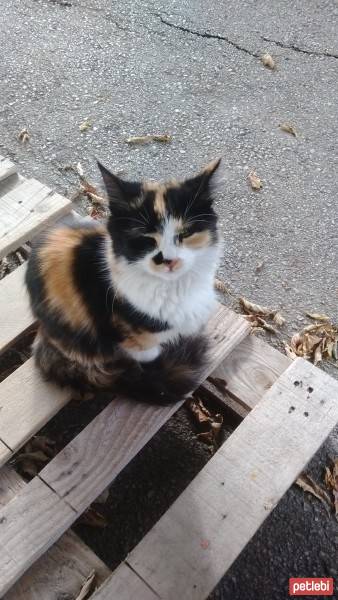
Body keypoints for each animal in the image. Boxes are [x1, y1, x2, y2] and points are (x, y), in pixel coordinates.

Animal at [25, 158, 222, 404]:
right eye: (146, 239)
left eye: (185, 233)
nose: (169, 261)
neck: (175, 288)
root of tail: (43, 337)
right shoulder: (133, 339)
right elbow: (149, 354)